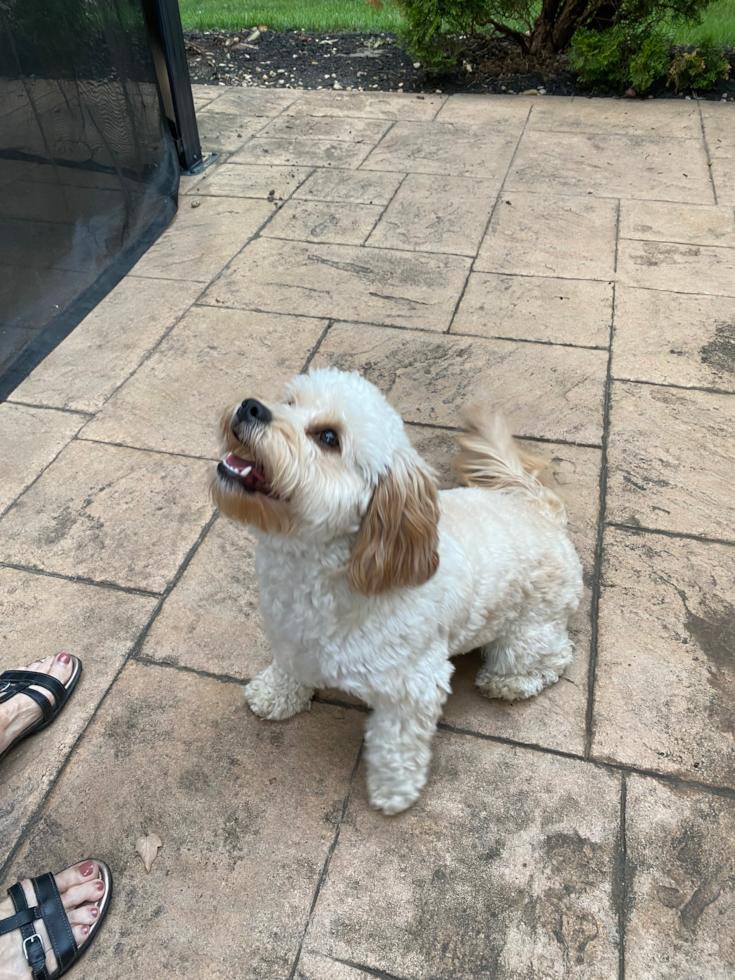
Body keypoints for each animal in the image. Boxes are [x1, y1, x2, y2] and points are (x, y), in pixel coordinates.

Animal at [210, 366, 584, 812]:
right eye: (290, 400)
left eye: (329, 438)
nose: (252, 407)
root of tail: (543, 513)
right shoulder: (289, 634)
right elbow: (287, 667)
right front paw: (274, 695)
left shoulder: (414, 685)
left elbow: (396, 743)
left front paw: (393, 791)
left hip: (527, 636)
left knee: (554, 658)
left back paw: (508, 683)